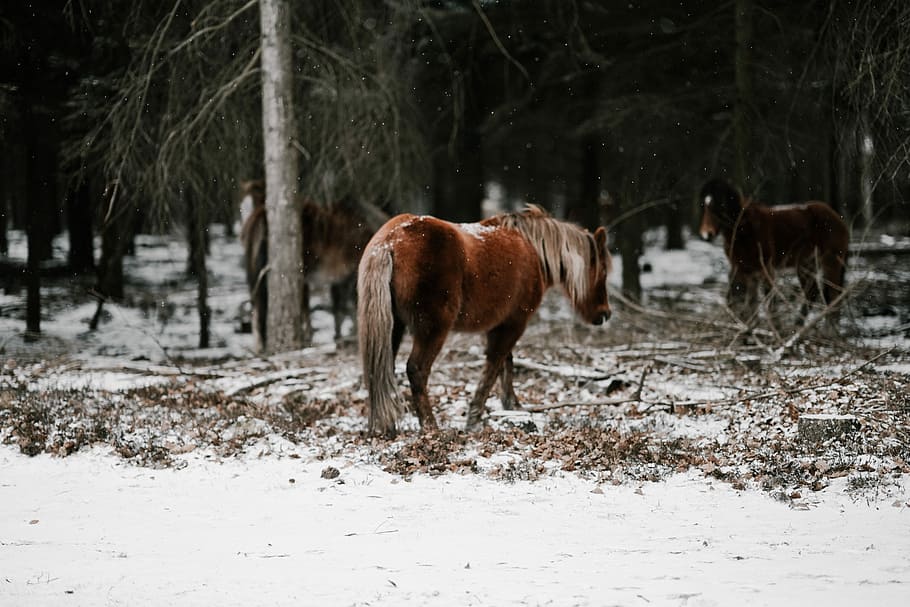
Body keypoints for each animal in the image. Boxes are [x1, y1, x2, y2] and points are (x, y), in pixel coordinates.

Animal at [357, 204, 613, 437]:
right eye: (603, 272)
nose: (605, 314)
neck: (531, 250)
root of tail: (390, 242)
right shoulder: (515, 323)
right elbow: (494, 365)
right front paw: (476, 417)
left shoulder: (498, 325)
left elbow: (505, 363)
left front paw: (512, 406)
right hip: (433, 330)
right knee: (417, 370)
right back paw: (431, 427)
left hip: (394, 327)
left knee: (381, 368)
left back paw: (385, 426)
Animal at [698, 178, 849, 328]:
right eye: (704, 206)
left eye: (721, 205)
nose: (707, 234)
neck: (743, 229)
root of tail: (837, 218)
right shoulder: (742, 269)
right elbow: (742, 301)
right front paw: (750, 329)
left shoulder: (765, 268)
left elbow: (769, 302)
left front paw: (775, 329)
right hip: (806, 264)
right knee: (812, 292)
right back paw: (798, 326)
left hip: (831, 262)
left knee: (834, 296)